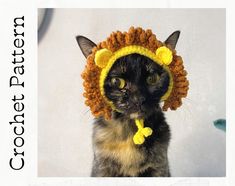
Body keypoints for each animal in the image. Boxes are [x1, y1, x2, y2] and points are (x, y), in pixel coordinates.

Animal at [76, 29, 181, 177]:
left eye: (152, 79)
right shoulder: (102, 169)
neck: (129, 132)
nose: (138, 99)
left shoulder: (159, 168)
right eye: (117, 82)